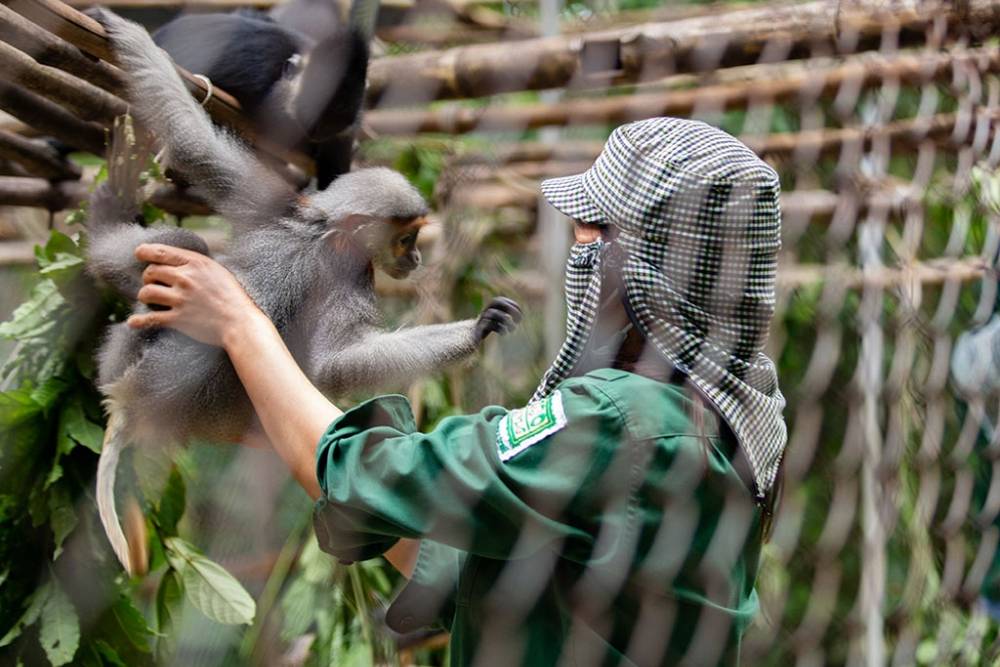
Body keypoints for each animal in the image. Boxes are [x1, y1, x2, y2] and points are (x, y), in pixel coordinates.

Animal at [86, 7, 524, 576]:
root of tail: (131, 399)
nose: (417, 259)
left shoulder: (298, 223)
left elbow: (193, 143)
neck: (323, 231)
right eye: (407, 239)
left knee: (181, 244)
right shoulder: (308, 230)